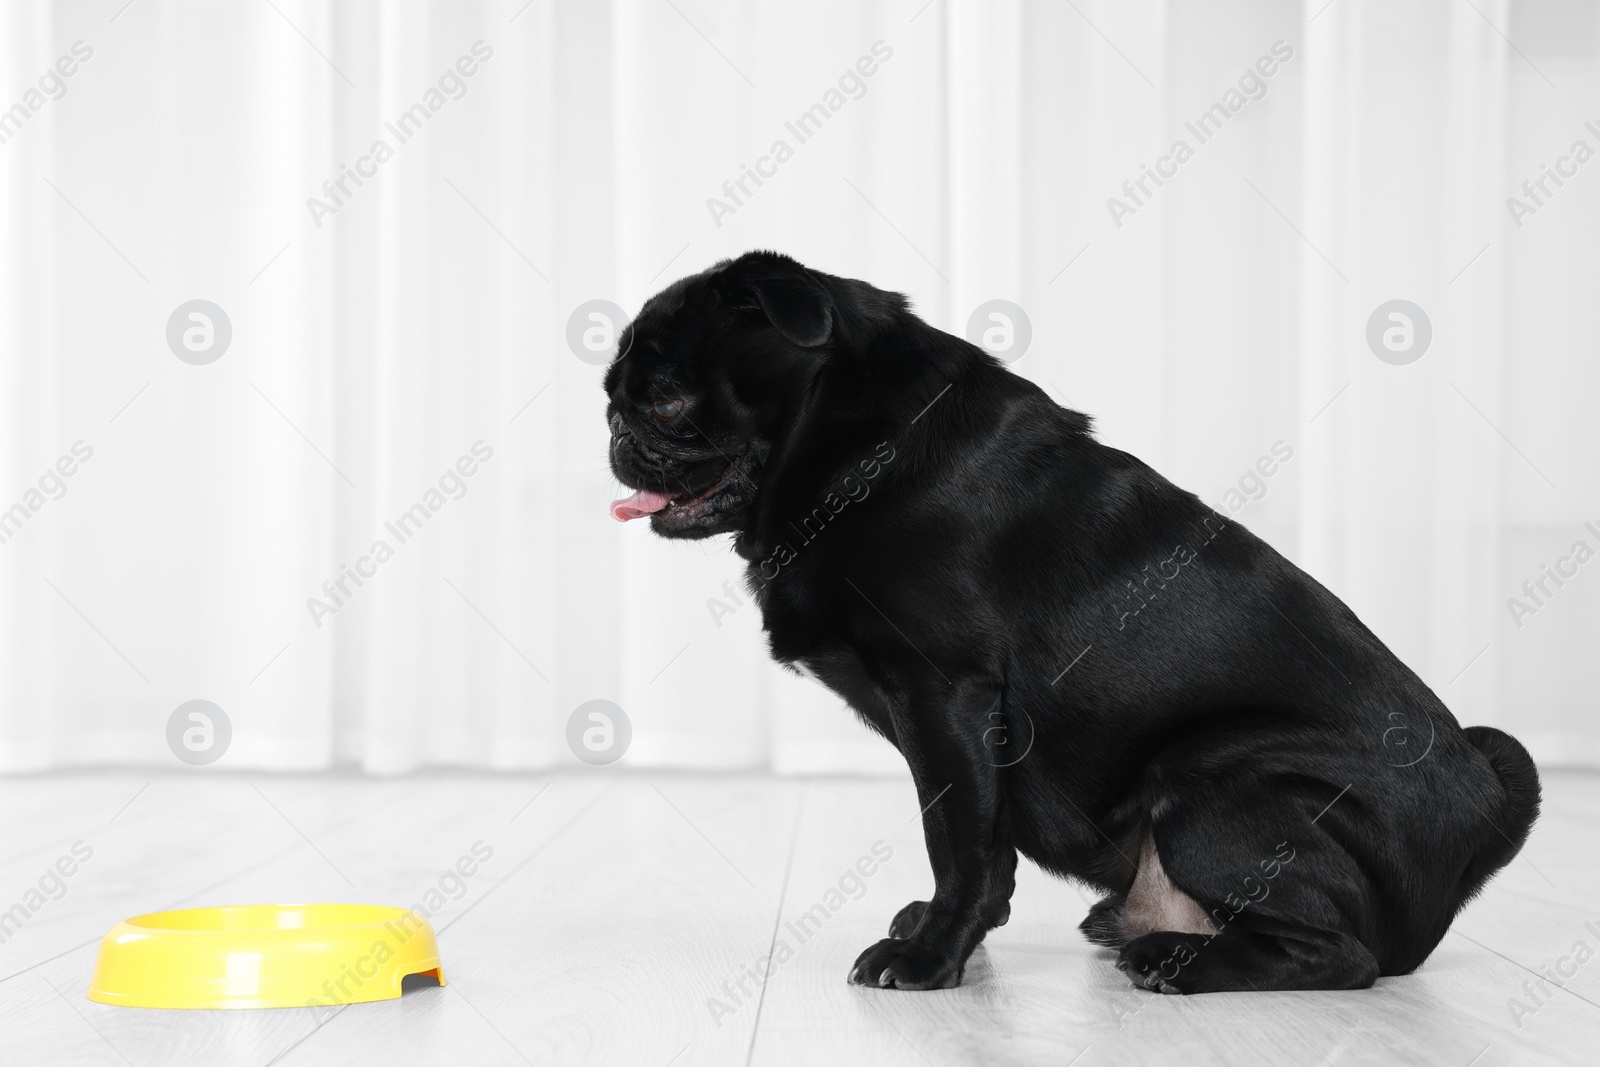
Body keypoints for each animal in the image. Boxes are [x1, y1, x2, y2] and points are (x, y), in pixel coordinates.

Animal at [601, 251, 1536, 991]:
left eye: (668, 402)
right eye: (614, 396)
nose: (612, 427)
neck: (850, 446)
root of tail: (1478, 828)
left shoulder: (946, 695)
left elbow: (960, 841)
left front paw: (931, 957)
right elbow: (981, 843)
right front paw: (945, 932)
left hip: (1213, 777)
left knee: (1344, 957)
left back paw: (1171, 960)